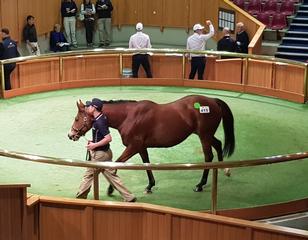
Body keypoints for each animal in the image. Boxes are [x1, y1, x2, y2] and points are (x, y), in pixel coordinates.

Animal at [68, 95, 236, 193]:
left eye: (76, 118)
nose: (70, 135)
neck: (129, 116)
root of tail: (213, 101)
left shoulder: (133, 146)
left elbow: (117, 163)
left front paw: (111, 188)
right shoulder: (141, 147)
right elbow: (146, 164)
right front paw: (150, 185)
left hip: (204, 136)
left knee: (208, 156)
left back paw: (200, 184)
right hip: (206, 135)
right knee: (218, 144)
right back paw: (225, 170)